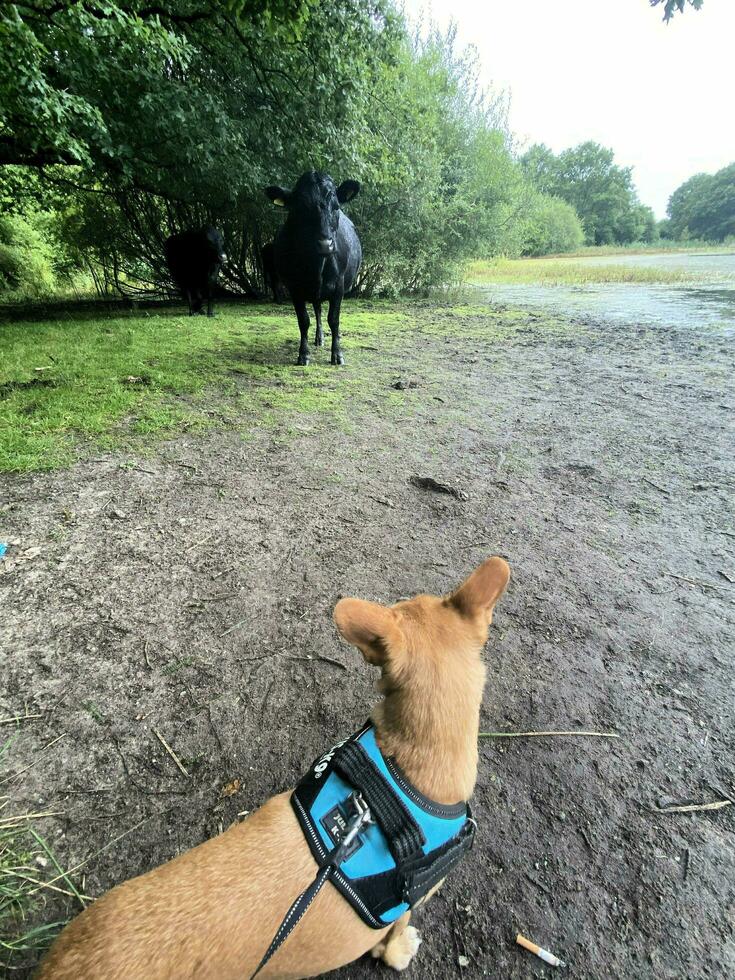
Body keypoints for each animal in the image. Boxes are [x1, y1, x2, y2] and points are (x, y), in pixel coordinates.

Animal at [266, 170, 360, 366]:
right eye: (300, 209)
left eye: (336, 207)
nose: (325, 245)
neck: (316, 266)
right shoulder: (294, 288)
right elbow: (304, 321)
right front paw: (303, 354)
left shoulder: (339, 286)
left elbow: (334, 319)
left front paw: (337, 354)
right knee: (317, 310)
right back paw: (319, 338)